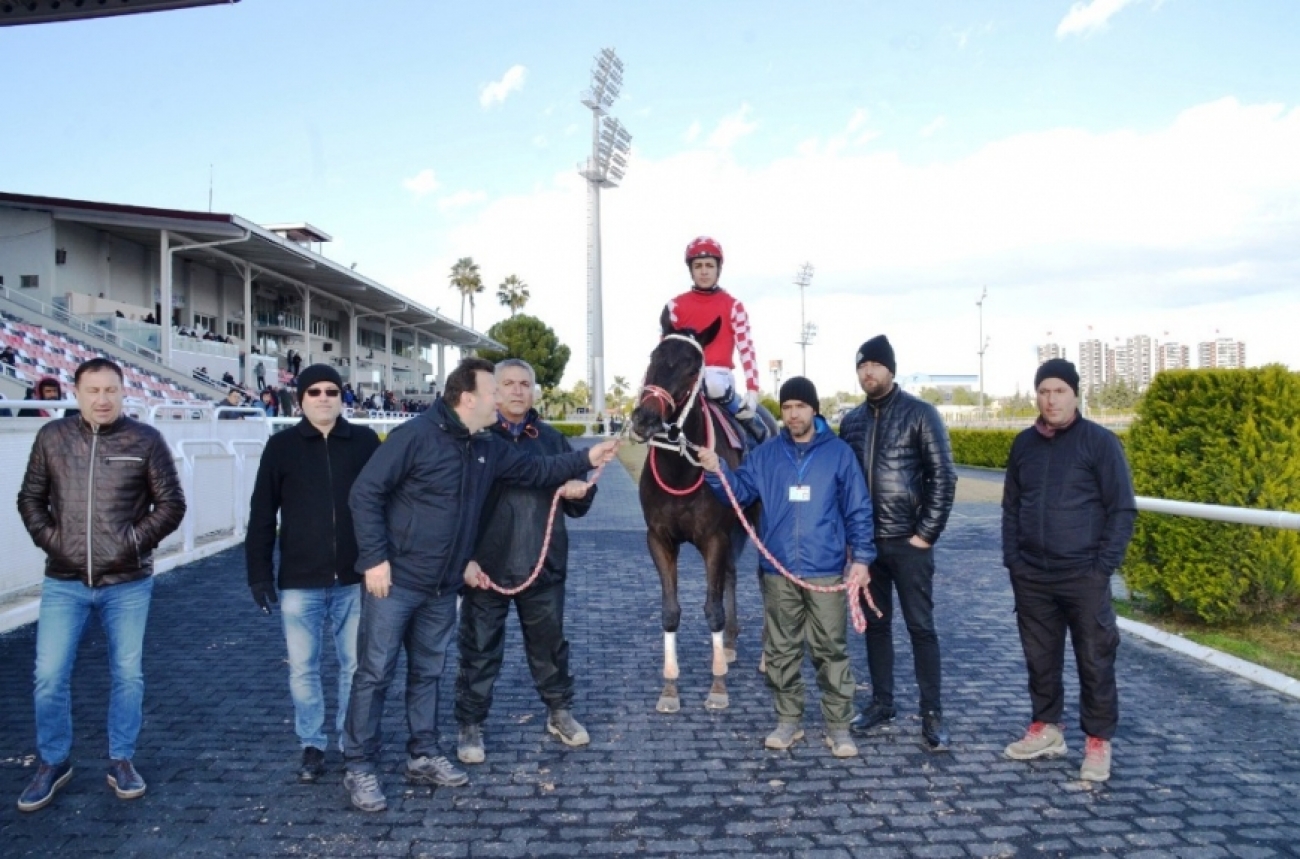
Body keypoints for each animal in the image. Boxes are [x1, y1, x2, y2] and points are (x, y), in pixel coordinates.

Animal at [626, 313, 759, 712]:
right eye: (653, 357)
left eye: (690, 369)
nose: (645, 419)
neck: (680, 467)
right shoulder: (660, 539)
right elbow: (671, 611)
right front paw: (669, 689)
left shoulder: (713, 538)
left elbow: (712, 610)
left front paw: (717, 687)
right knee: (730, 575)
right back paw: (729, 644)